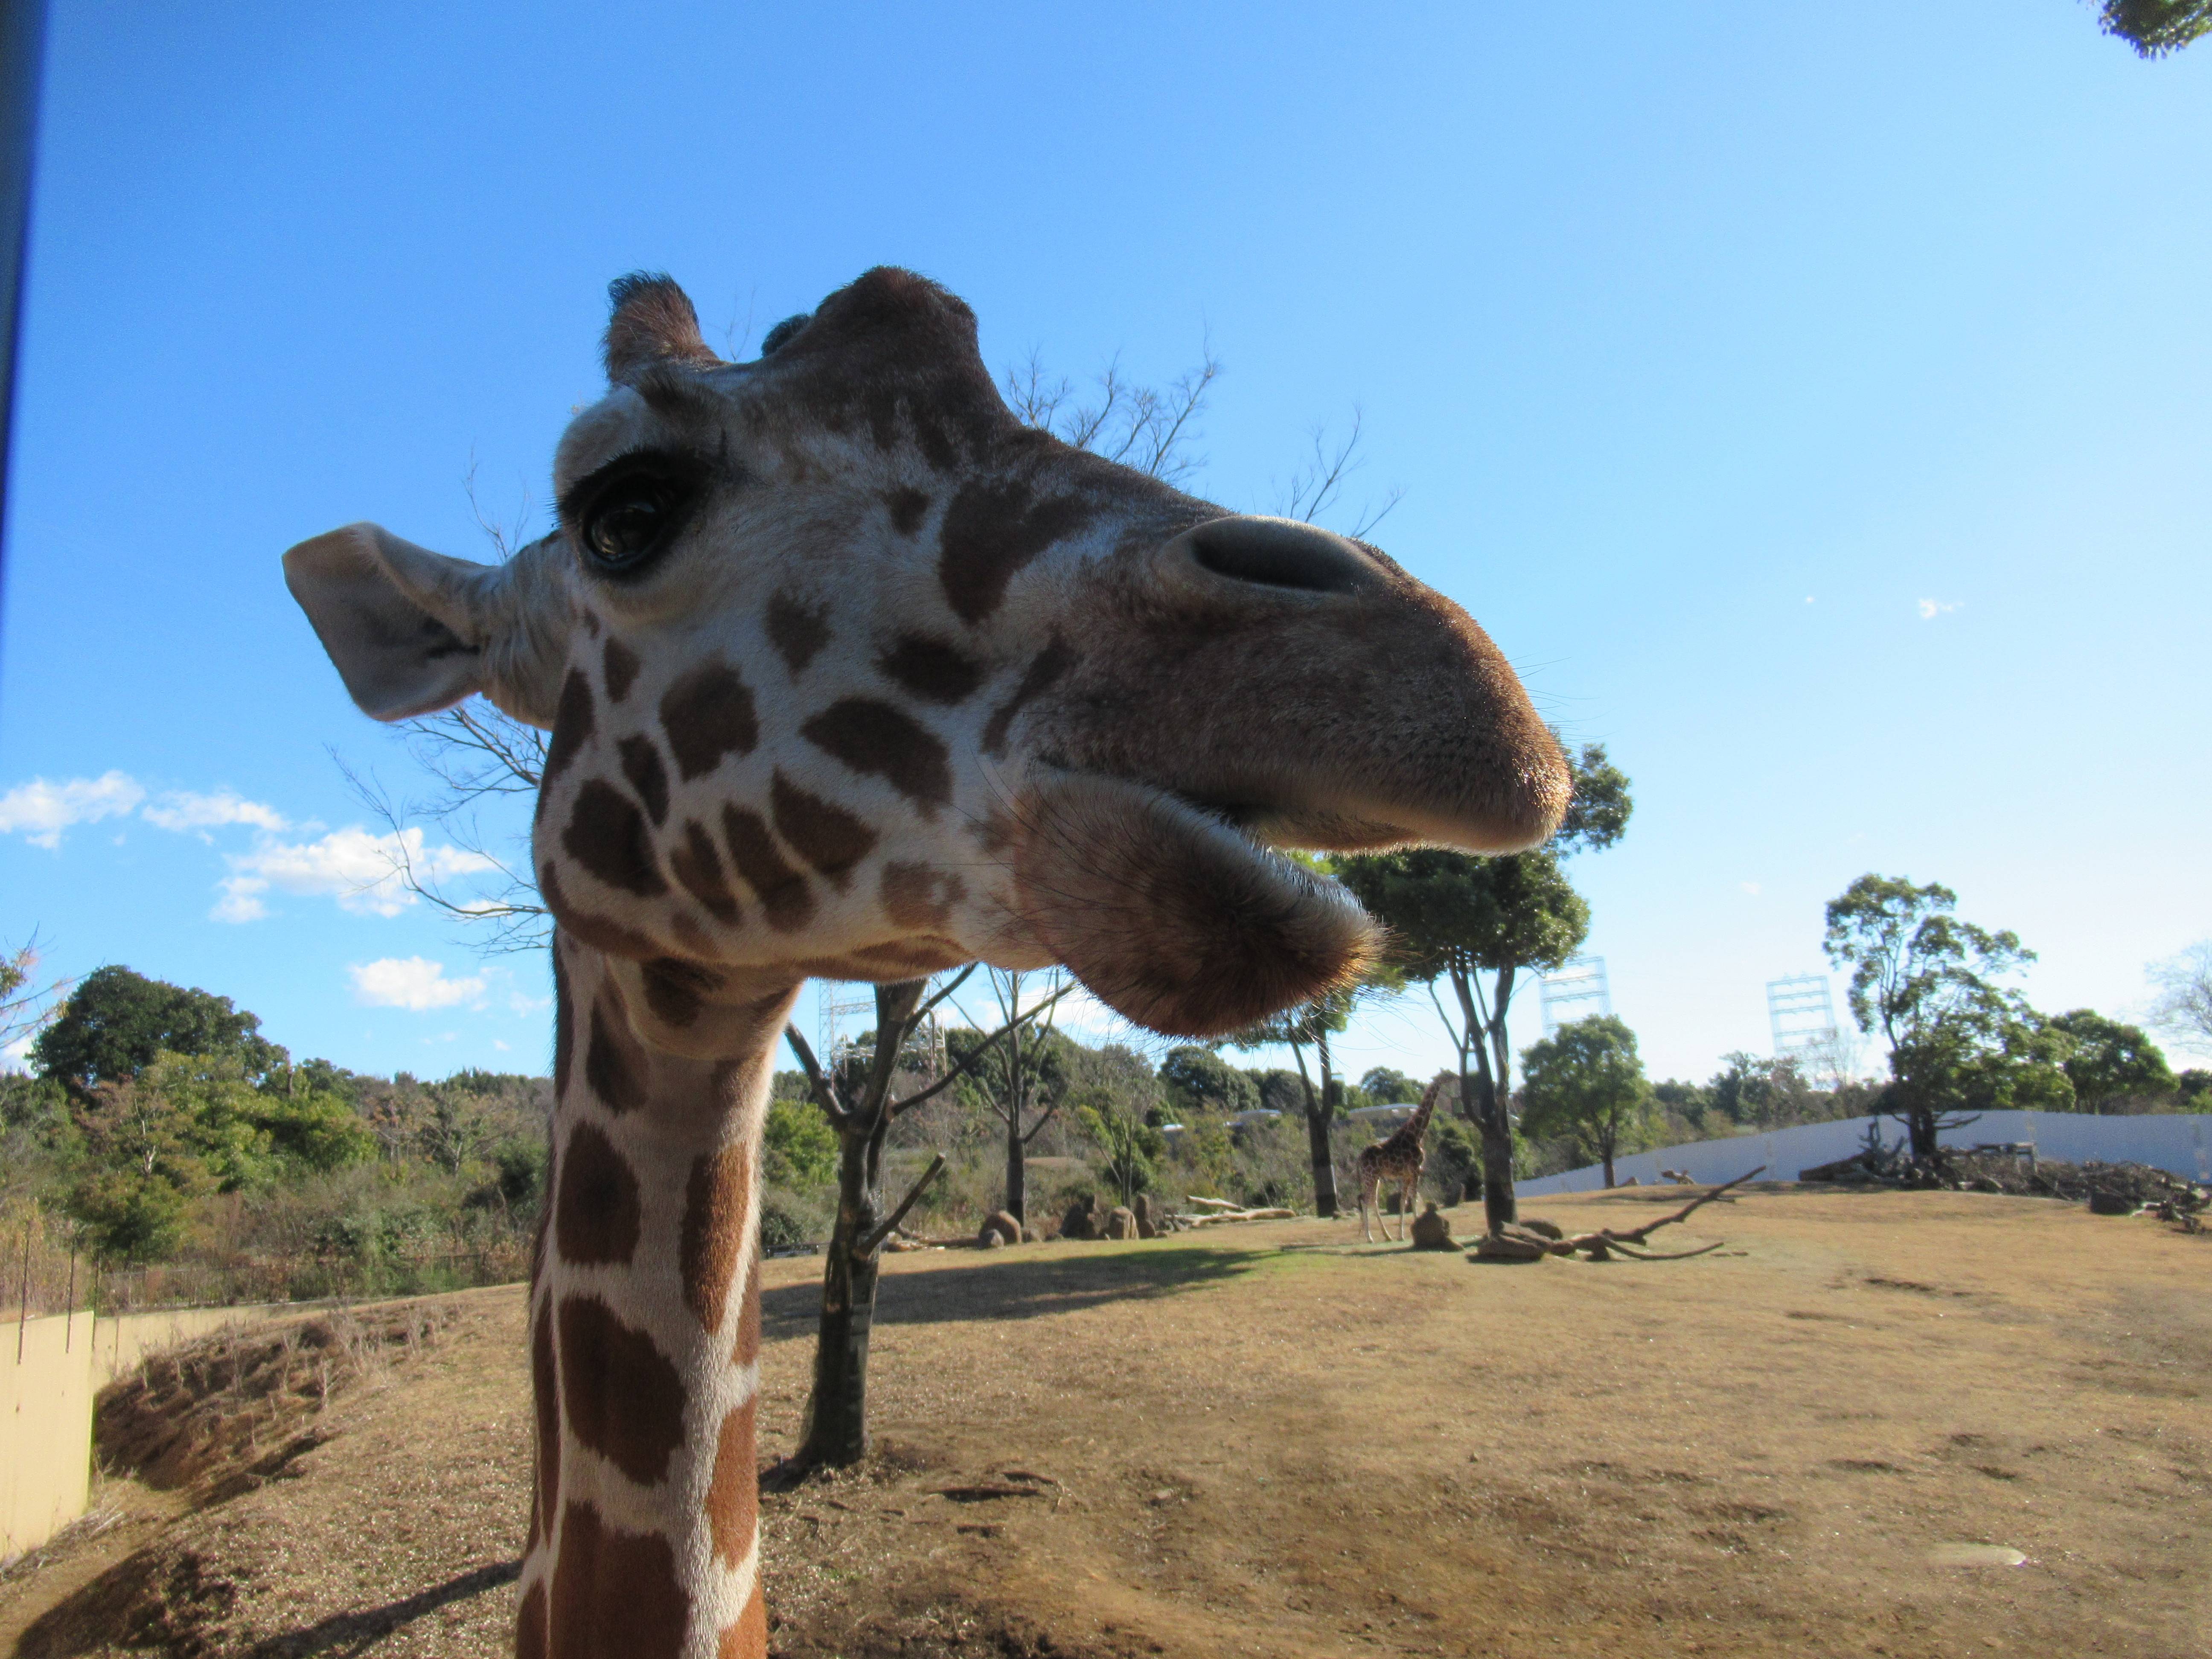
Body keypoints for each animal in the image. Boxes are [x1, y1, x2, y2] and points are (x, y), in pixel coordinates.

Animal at [1345, 1079, 1451, 1247]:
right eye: (1448, 1076)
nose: (1455, 1077)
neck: (1417, 1134)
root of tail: (1359, 1159)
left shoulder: (1406, 1175)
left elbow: (1403, 1201)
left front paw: (1403, 1234)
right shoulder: (1415, 1170)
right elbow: (1413, 1198)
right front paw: (1417, 1227)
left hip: (1375, 1178)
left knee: (1370, 1200)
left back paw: (1383, 1236)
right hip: (1371, 1177)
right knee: (1366, 1200)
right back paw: (1371, 1237)